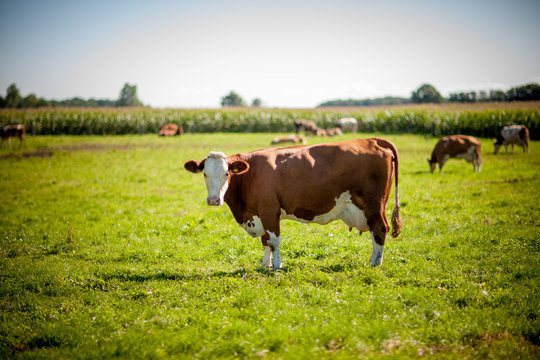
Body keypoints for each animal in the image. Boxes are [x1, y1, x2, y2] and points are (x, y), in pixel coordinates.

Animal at [186, 138, 400, 270]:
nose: (213, 200)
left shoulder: (269, 210)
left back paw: (375, 263)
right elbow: (265, 241)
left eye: (226, 173)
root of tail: (371, 140)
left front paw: (277, 266)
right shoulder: (260, 213)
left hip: (374, 205)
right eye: (204, 173)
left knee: (380, 229)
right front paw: (265, 265)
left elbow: (273, 241)